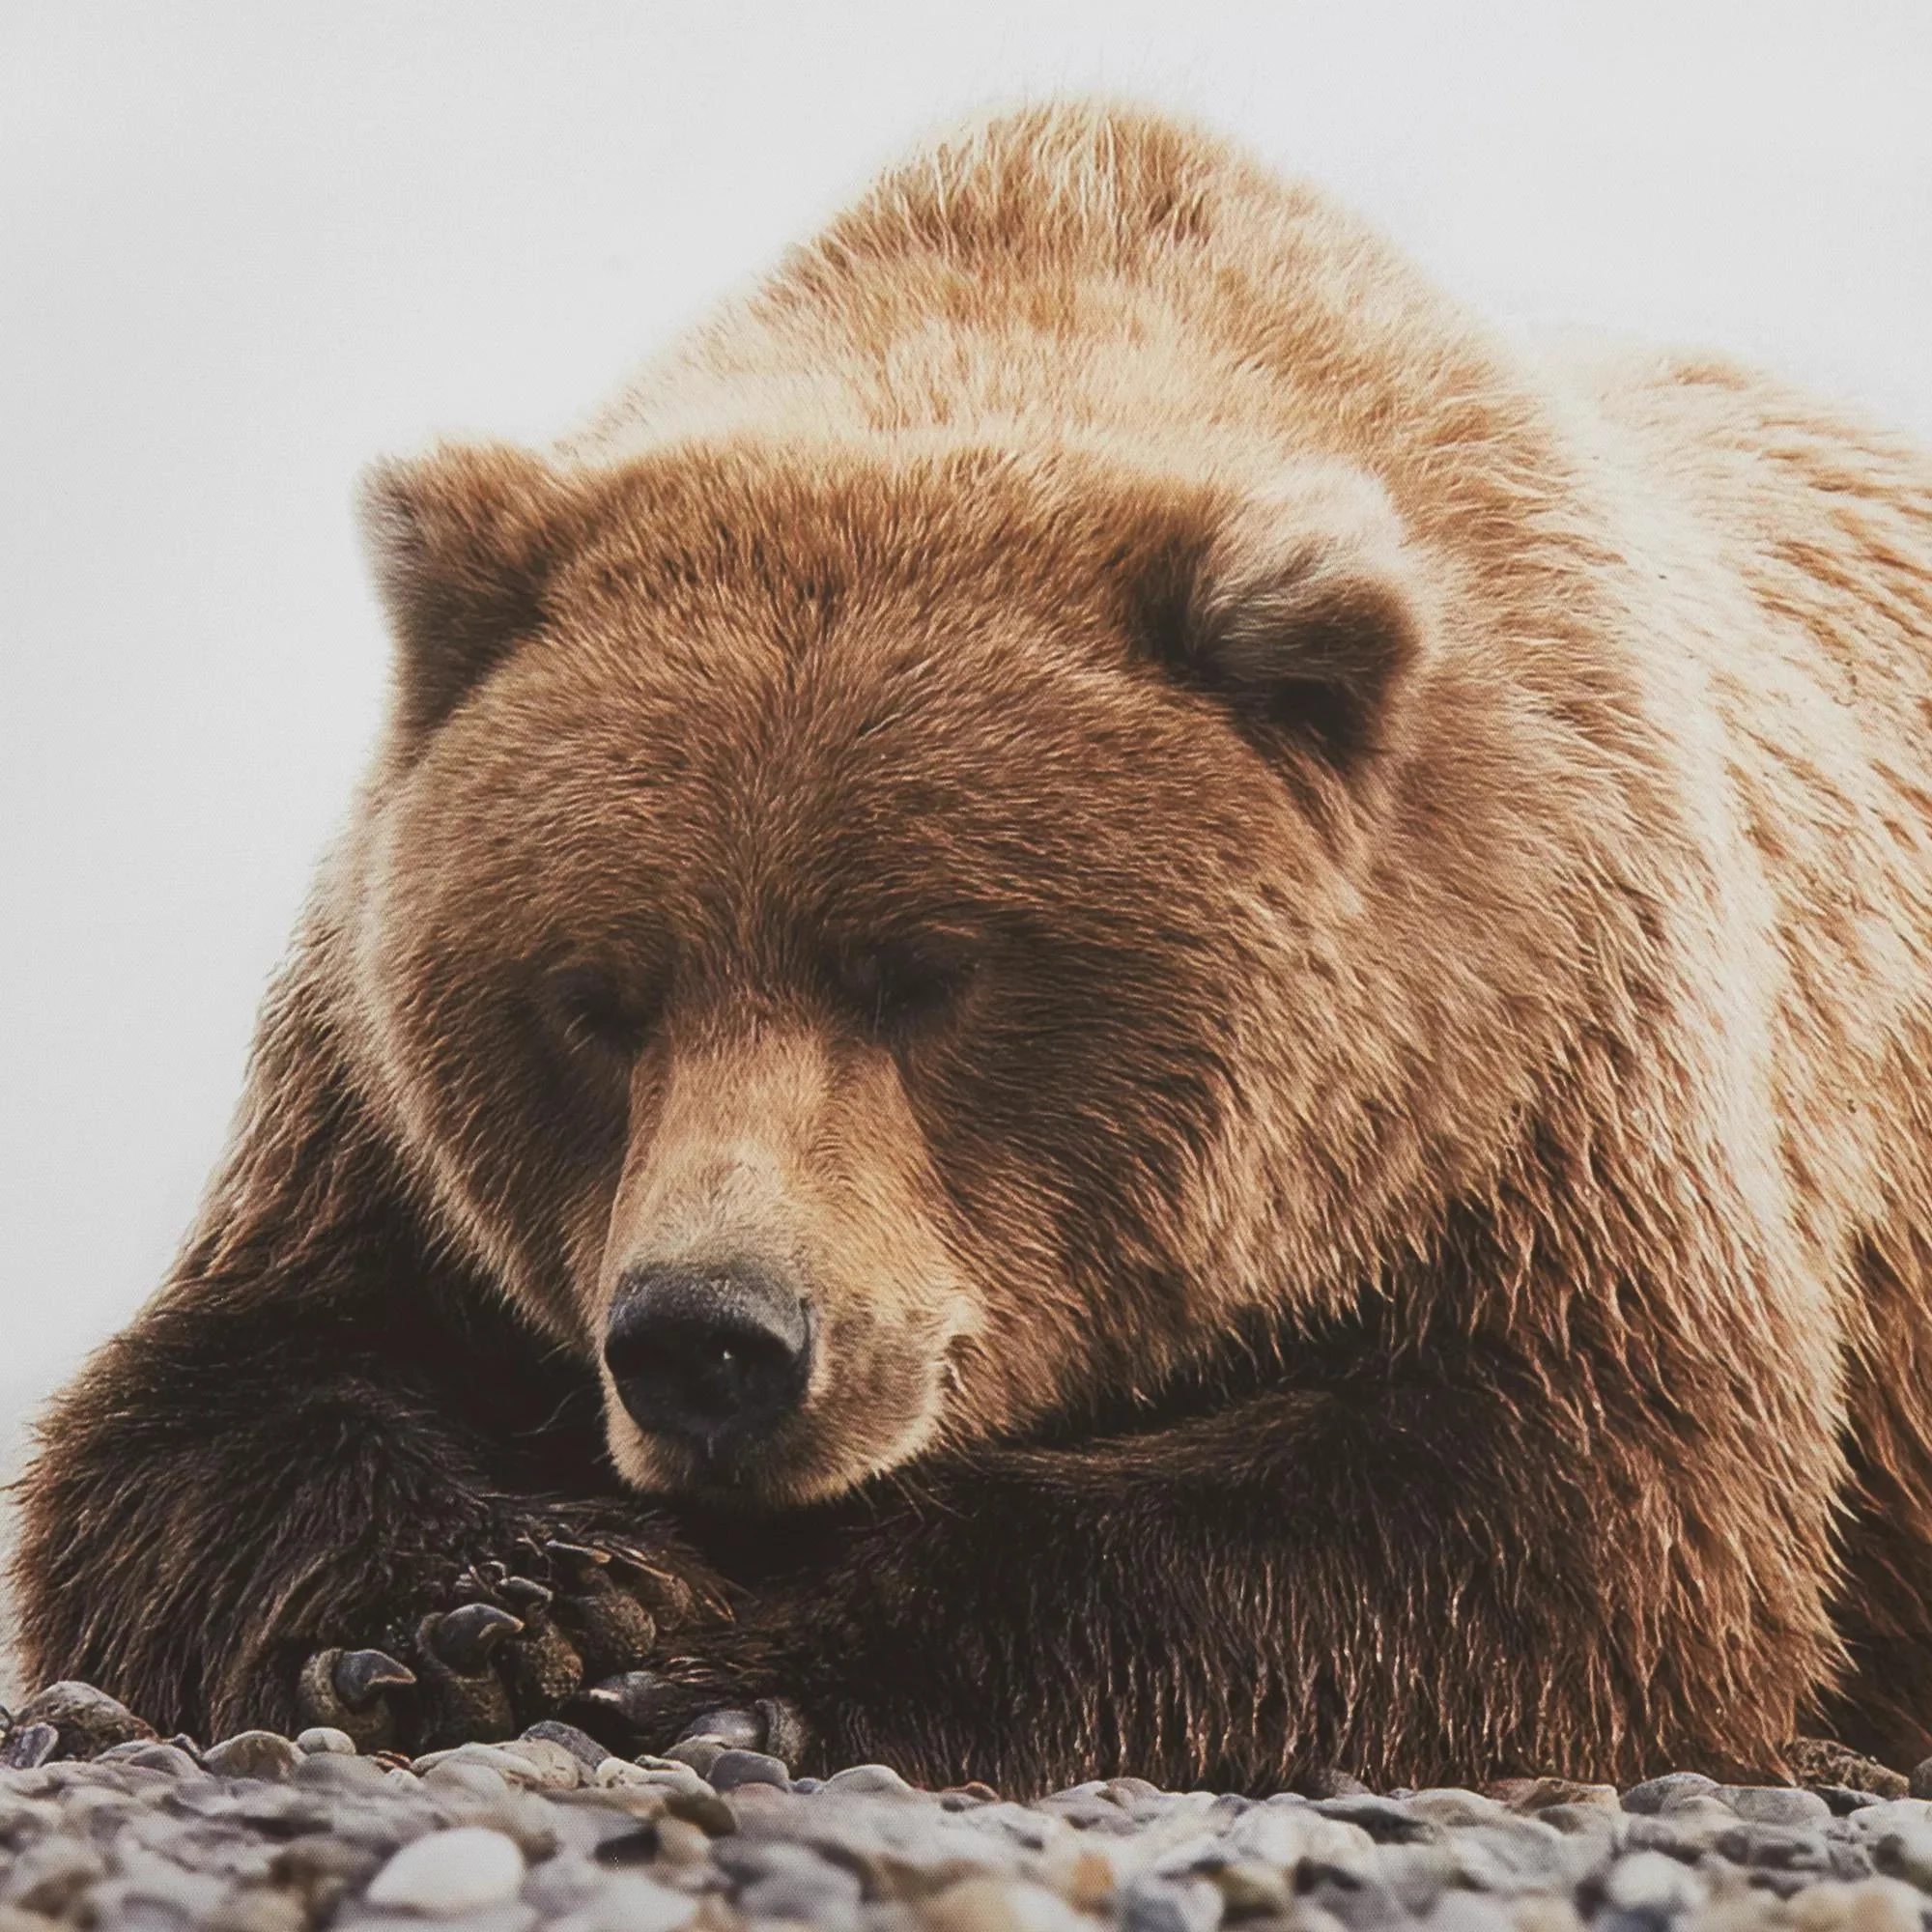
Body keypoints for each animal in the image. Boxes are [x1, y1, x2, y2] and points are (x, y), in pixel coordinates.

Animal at [15, 99, 1932, 1796]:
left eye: (927, 973)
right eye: (593, 998)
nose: (711, 1338)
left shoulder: (1540, 1073)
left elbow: (1537, 1508)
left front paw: (741, 1662)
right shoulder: (371, 1117)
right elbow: (206, 1412)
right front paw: (501, 1605)